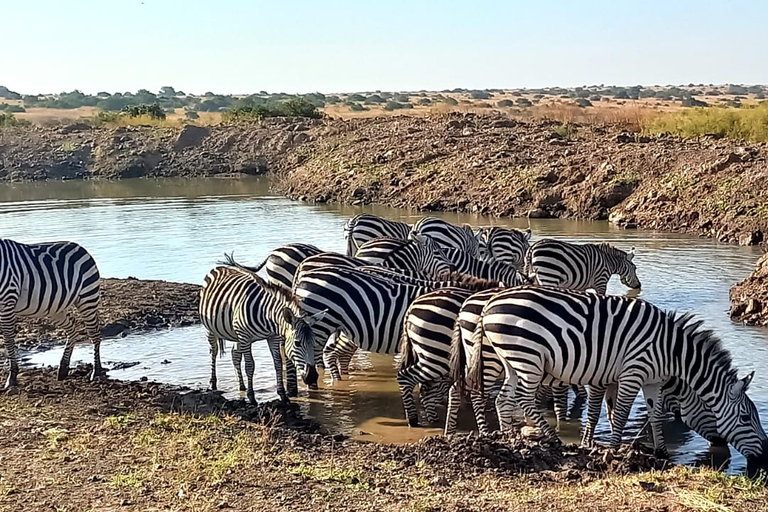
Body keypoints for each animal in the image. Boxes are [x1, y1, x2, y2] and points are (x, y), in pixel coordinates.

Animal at [0, 238, 103, 386]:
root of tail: (79, 247)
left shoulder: (7, 301)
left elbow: (8, 339)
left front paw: (12, 377)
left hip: (87, 298)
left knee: (94, 334)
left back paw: (96, 372)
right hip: (54, 308)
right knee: (73, 328)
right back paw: (63, 369)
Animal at [200, 258, 322, 406]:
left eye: (314, 343)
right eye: (297, 343)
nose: (312, 377)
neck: (267, 315)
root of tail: (220, 267)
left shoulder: (272, 337)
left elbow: (278, 363)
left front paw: (283, 395)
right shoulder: (245, 337)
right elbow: (250, 366)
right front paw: (252, 398)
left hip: (236, 334)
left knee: (235, 354)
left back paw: (241, 386)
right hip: (210, 328)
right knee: (214, 351)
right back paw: (213, 383)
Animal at [476, 286, 764, 462]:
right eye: (746, 418)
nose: (763, 457)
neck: (672, 352)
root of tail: (490, 303)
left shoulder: (652, 382)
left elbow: (654, 415)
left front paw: (661, 453)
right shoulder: (632, 372)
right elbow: (621, 413)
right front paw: (613, 450)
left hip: (511, 359)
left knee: (503, 399)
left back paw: (508, 438)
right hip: (528, 358)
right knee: (524, 399)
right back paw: (553, 439)